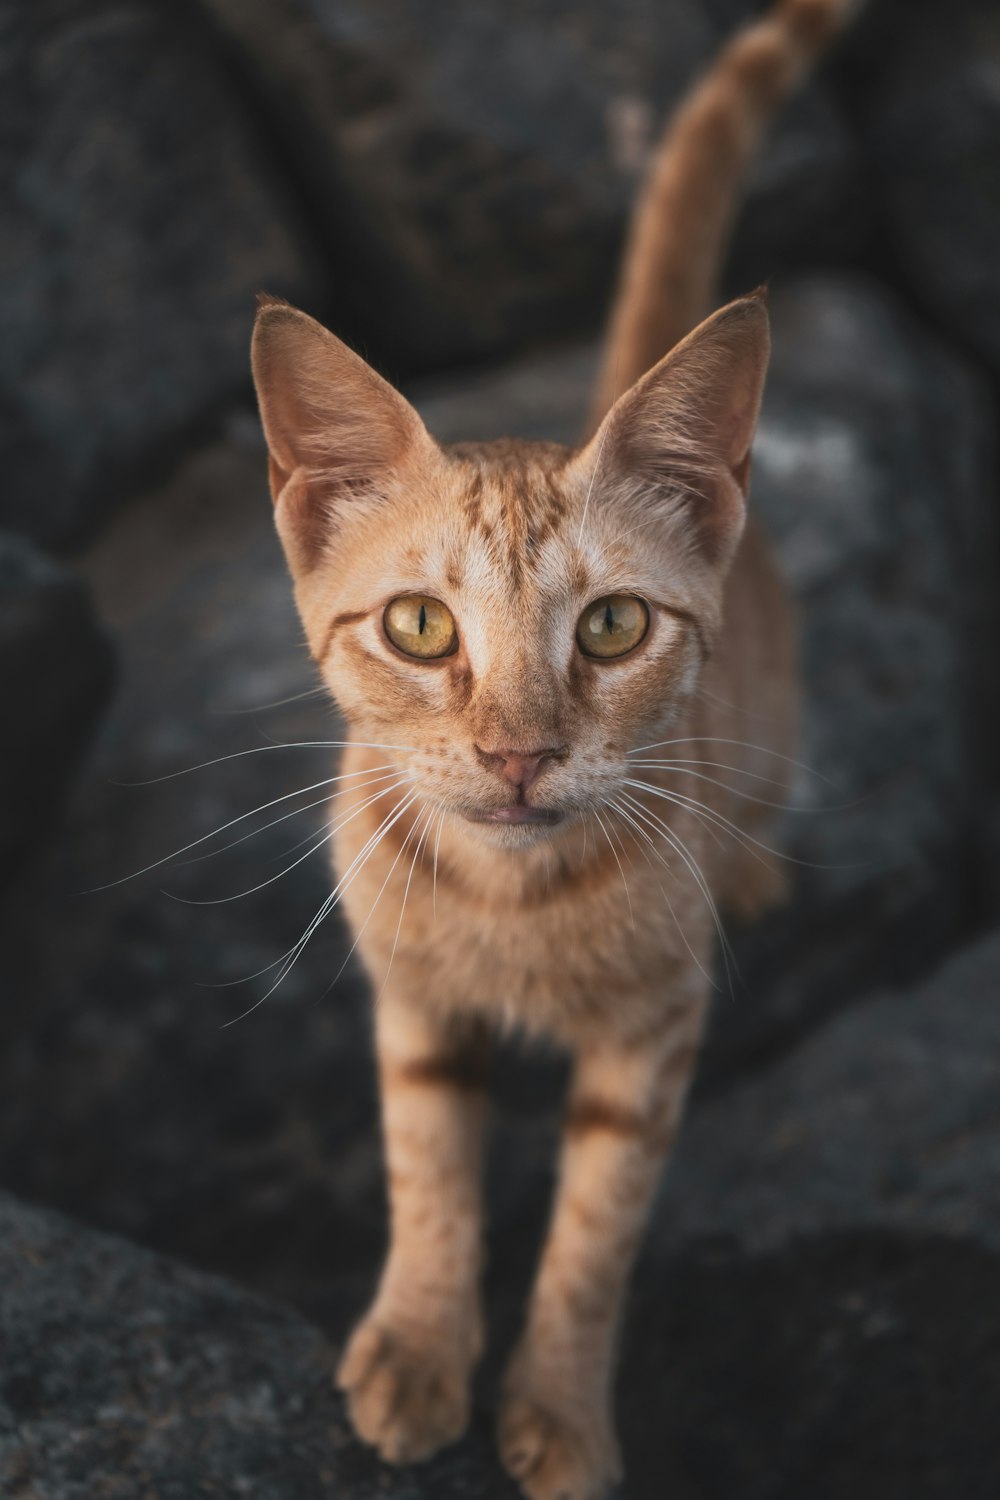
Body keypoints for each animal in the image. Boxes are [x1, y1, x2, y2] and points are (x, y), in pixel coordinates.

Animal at [248, 2, 851, 1500]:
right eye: (419, 626)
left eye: (614, 624)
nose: (518, 754)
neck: (511, 904)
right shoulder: (410, 1001)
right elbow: (426, 1166)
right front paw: (418, 1345)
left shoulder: (654, 1035)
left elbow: (596, 1230)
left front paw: (563, 1410)